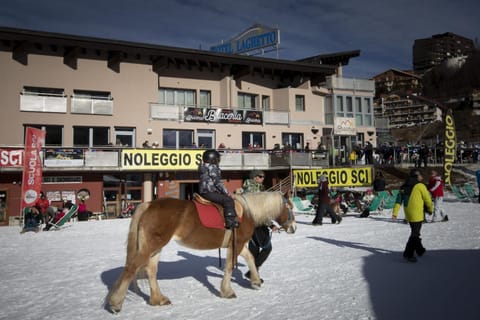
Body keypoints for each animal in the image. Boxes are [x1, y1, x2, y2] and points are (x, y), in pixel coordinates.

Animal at [108, 190, 296, 312]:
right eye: (290, 207)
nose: (294, 228)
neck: (247, 211)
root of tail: (148, 205)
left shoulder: (239, 244)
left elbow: (249, 257)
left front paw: (255, 281)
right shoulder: (237, 243)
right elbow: (229, 266)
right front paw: (227, 291)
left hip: (156, 247)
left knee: (151, 271)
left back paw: (157, 299)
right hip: (151, 246)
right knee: (131, 268)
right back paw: (115, 303)